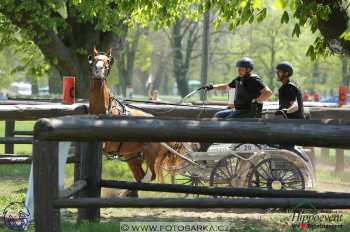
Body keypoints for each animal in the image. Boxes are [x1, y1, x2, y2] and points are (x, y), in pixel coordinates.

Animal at [88, 48, 186, 197]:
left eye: (108, 60)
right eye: (93, 59)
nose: (98, 70)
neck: (105, 109)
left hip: (150, 155)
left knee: (148, 176)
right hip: (133, 156)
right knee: (140, 175)